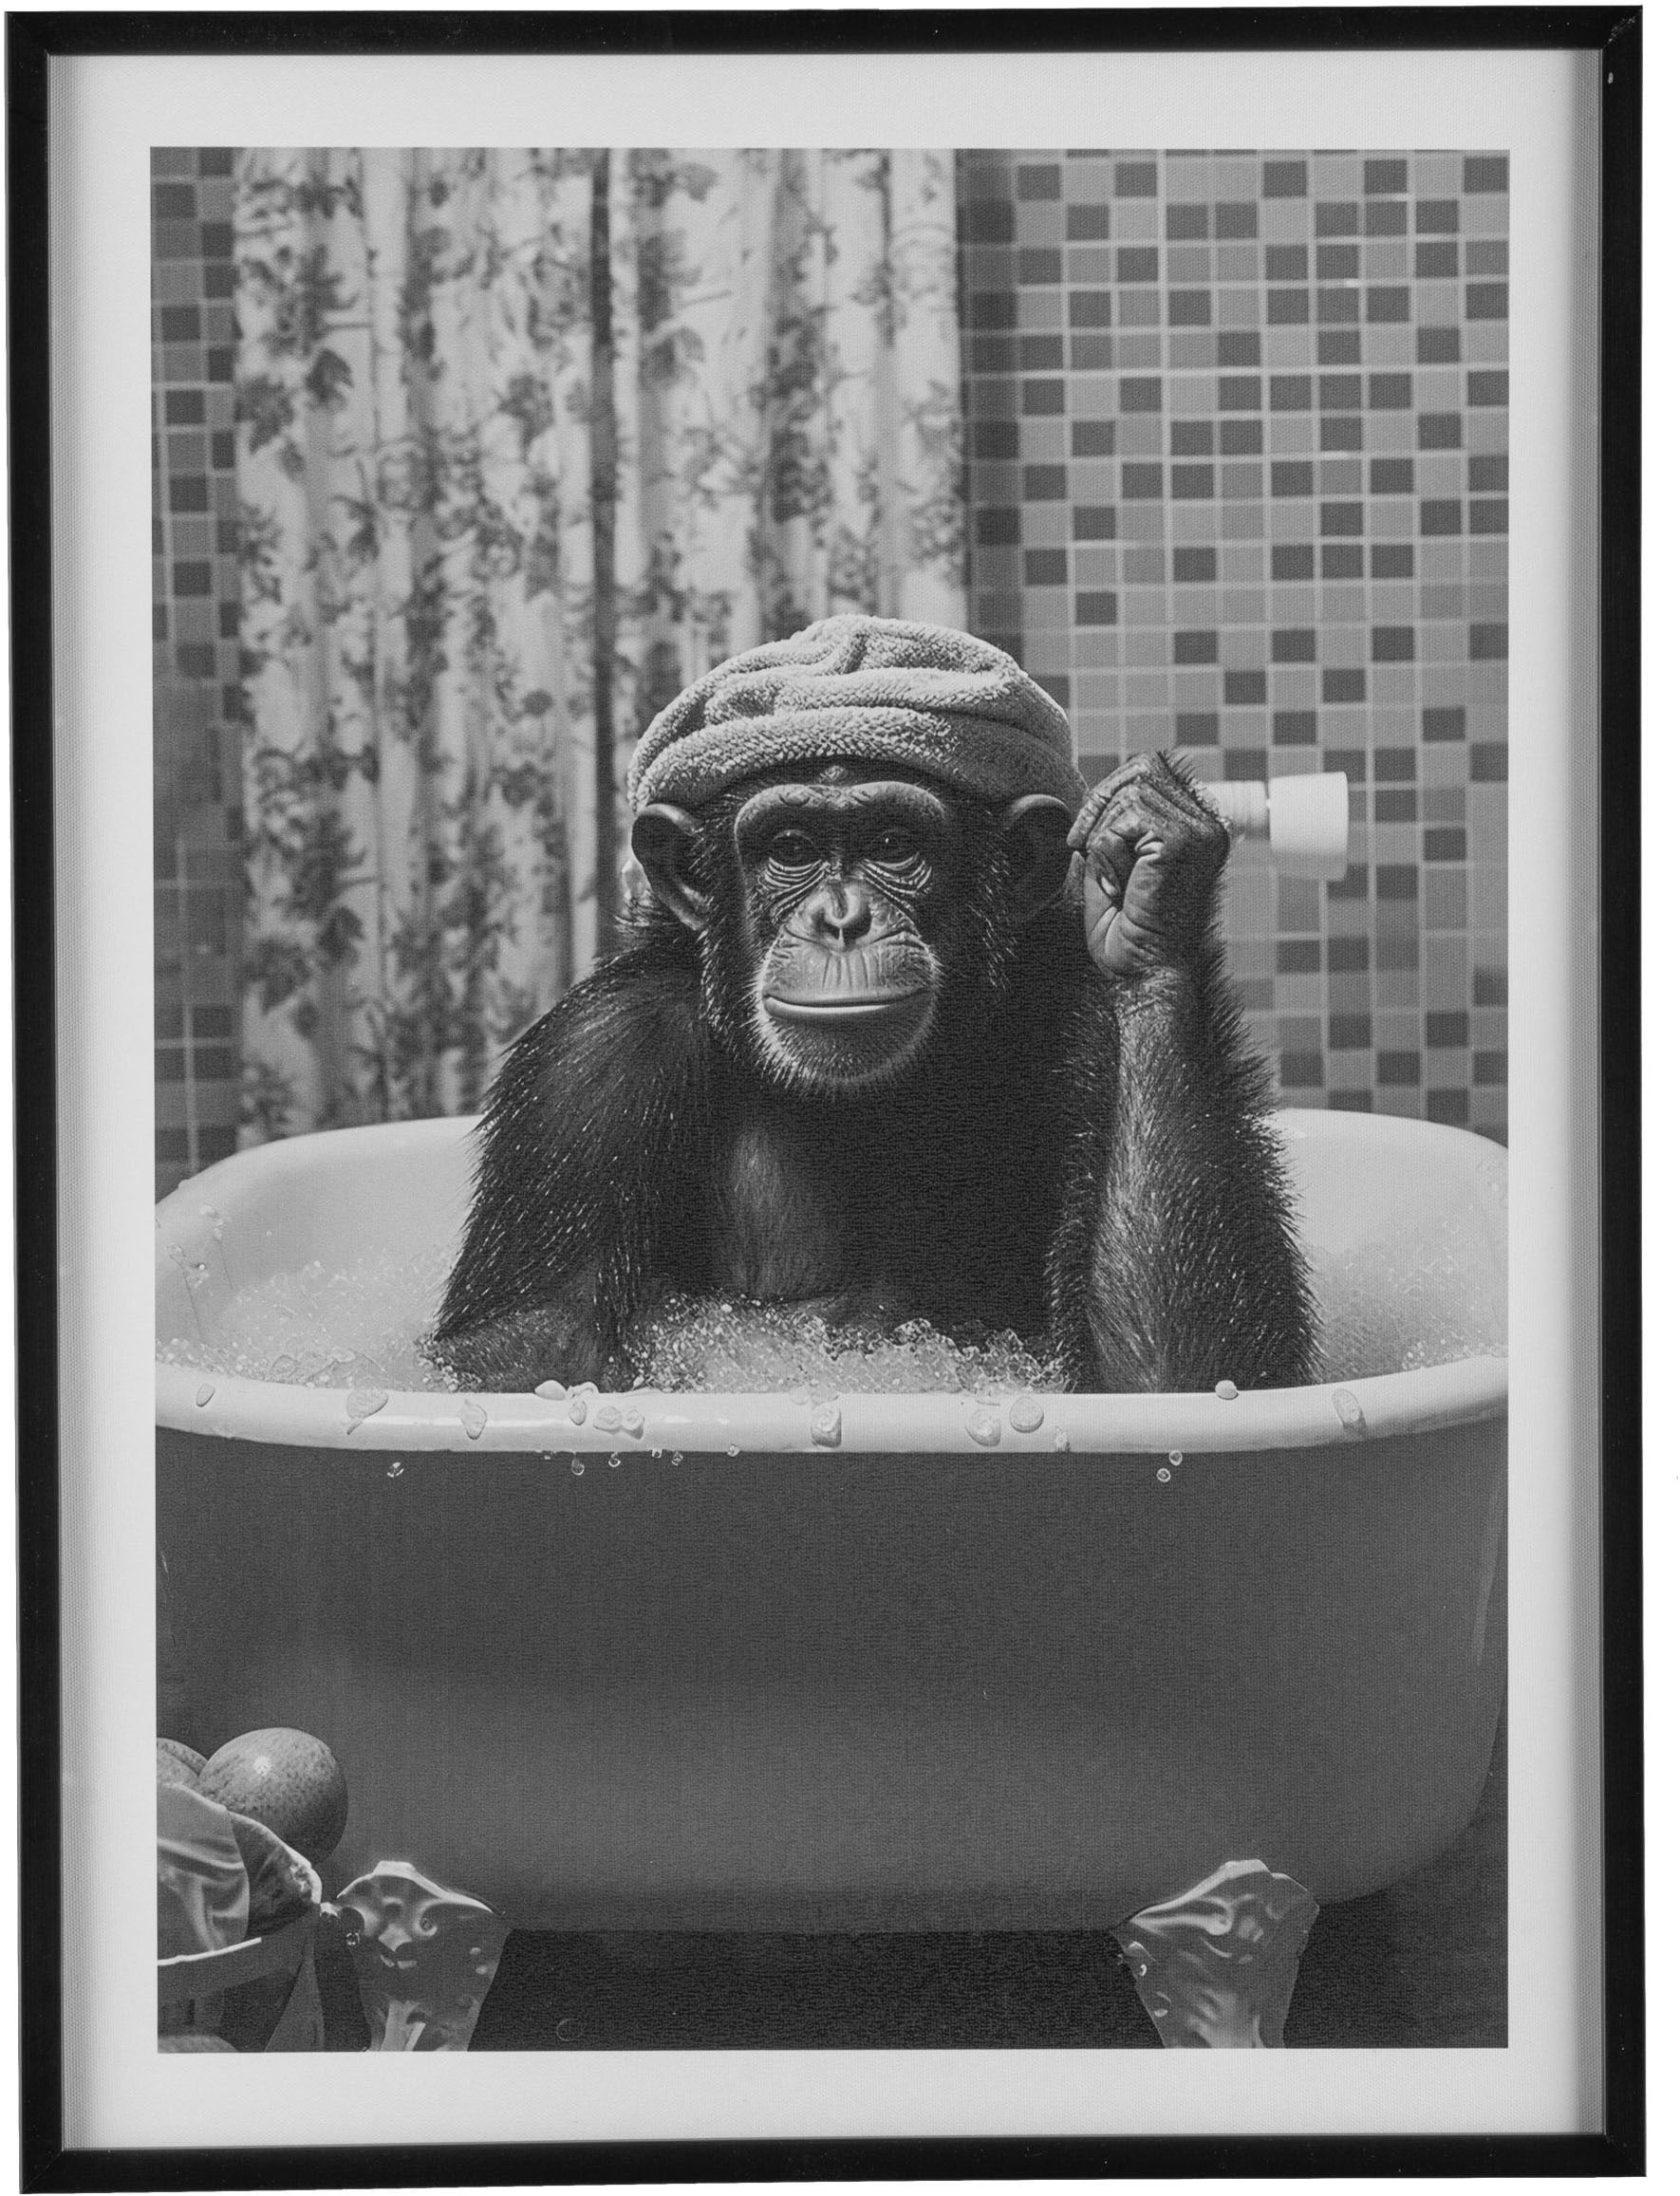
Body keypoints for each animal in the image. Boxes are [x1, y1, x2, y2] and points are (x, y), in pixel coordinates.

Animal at [432, 619, 1316, 1396]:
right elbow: (531, 1346)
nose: (842, 918)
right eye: (790, 848)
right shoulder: (589, 1067)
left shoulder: (1088, 1012)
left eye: (893, 844)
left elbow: (1182, 1372)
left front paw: (1150, 877)